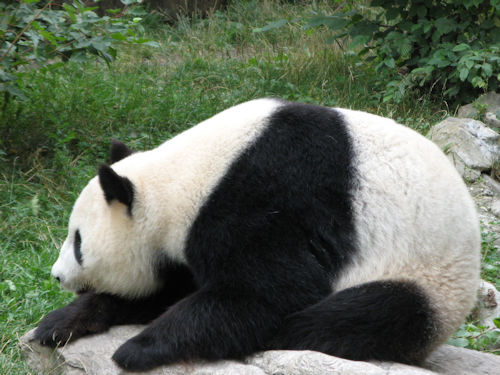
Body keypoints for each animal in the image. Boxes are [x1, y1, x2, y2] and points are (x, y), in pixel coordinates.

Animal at [35, 99, 480, 374]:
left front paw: (138, 348)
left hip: (427, 277)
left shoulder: (267, 198)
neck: (183, 178)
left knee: (359, 315)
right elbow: (169, 290)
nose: (57, 276)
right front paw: (59, 323)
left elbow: (267, 293)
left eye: (78, 242)